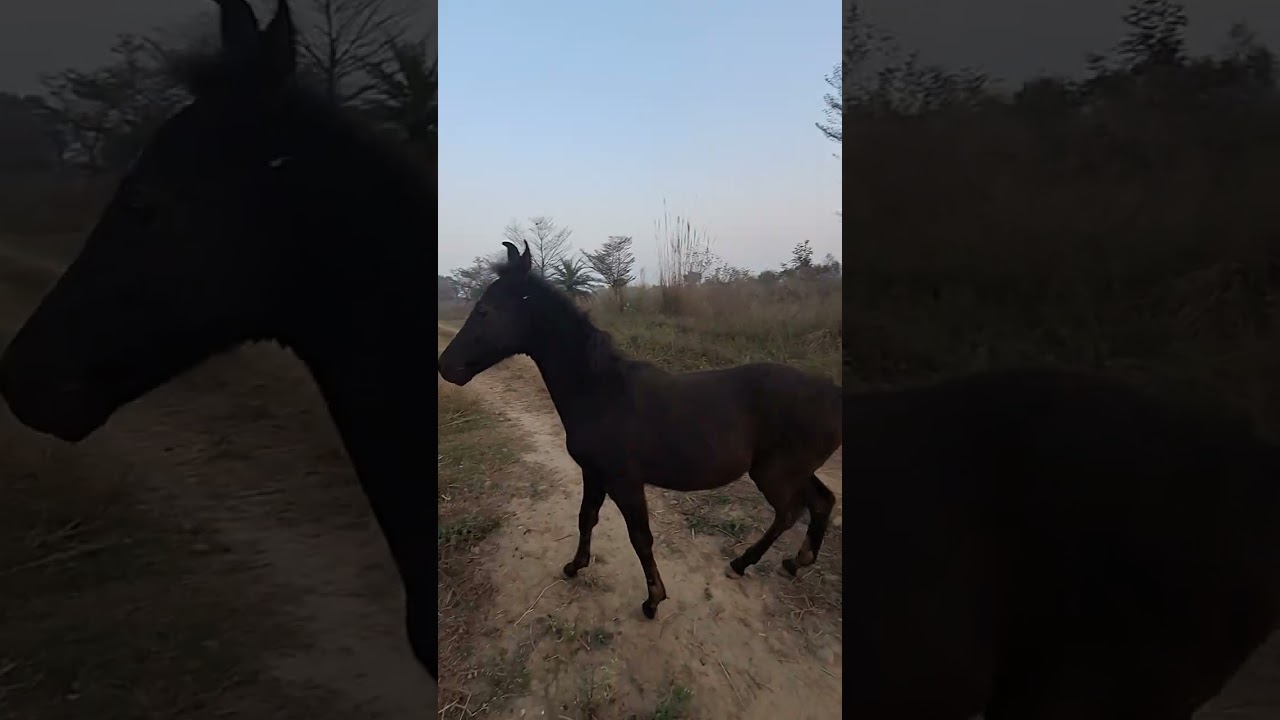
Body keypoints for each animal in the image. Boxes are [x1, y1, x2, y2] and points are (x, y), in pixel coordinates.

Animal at [437, 241, 842, 620]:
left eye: (484, 310)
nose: (446, 366)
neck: (600, 392)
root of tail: (836, 395)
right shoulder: (594, 474)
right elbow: (586, 517)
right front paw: (575, 566)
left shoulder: (625, 481)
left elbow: (640, 537)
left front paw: (653, 600)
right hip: (792, 470)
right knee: (821, 502)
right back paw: (795, 562)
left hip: (774, 473)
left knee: (790, 513)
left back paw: (742, 563)